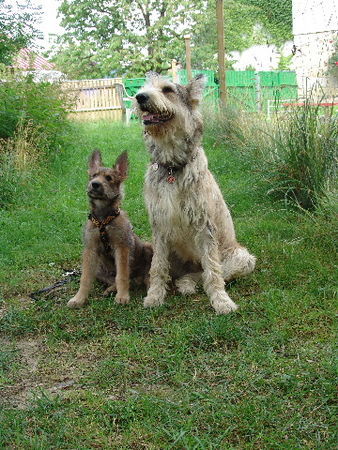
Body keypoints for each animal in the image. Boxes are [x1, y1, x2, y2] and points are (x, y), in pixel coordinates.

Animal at [68, 149, 152, 308]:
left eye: (109, 178)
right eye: (93, 175)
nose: (94, 184)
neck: (103, 220)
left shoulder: (122, 248)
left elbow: (122, 275)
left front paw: (123, 296)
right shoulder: (90, 249)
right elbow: (85, 278)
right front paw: (79, 298)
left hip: (148, 248)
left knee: (142, 276)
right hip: (99, 268)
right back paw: (111, 289)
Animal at [136, 74, 255, 312]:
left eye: (167, 89)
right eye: (144, 87)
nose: (140, 97)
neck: (172, 167)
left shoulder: (205, 224)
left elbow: (213, 271)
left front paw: (221, 300)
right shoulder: (159, 226)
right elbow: (158, 267)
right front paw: (154, 296)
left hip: (242, 257)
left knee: (210, 272)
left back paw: (188, 284)